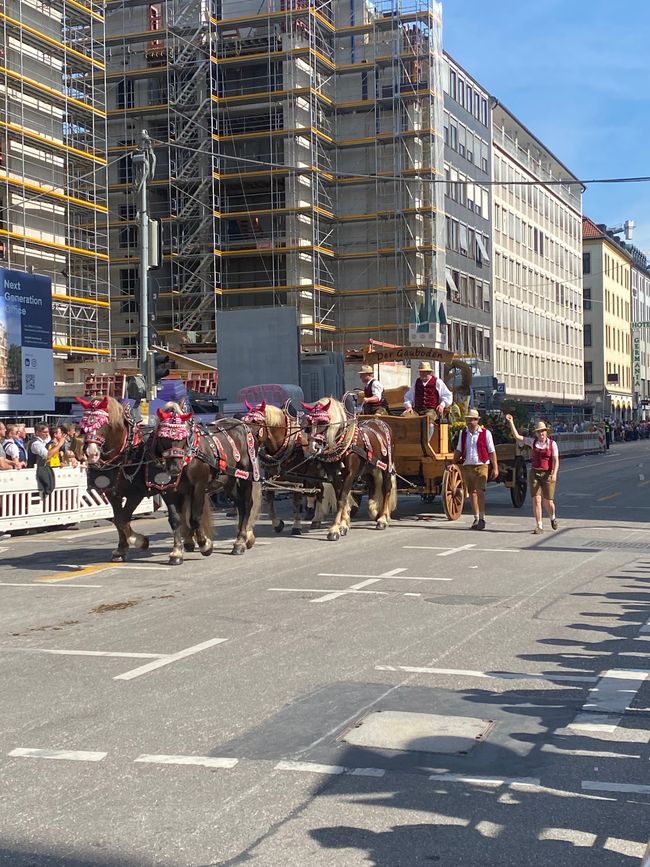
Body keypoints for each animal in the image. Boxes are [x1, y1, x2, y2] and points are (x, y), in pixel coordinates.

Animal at [148, 404, 260, 568]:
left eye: (183, 438)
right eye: (162, 438)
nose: (174, 468)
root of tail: (243, 425)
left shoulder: (198, 487)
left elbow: (195, 518)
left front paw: (205, 544)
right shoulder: (169, 491)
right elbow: (176, 519)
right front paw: (177, 552)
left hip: (245, 475)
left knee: (246, 505)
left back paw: (240, 542)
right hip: (228, 481)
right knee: (239, 504)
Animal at [298, 396, 394, 540]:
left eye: (323, 422)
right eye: (308, 425)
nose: (313, 447)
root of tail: (380, 422)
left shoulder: (350, 474)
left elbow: (342, 499)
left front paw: (334, 530)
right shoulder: (334, 475)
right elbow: (340, 497)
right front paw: (343, 525)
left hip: (386, 466)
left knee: (386, 488)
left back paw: (382, 519)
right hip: (367, 469)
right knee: (372, 485)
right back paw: (374, 511)